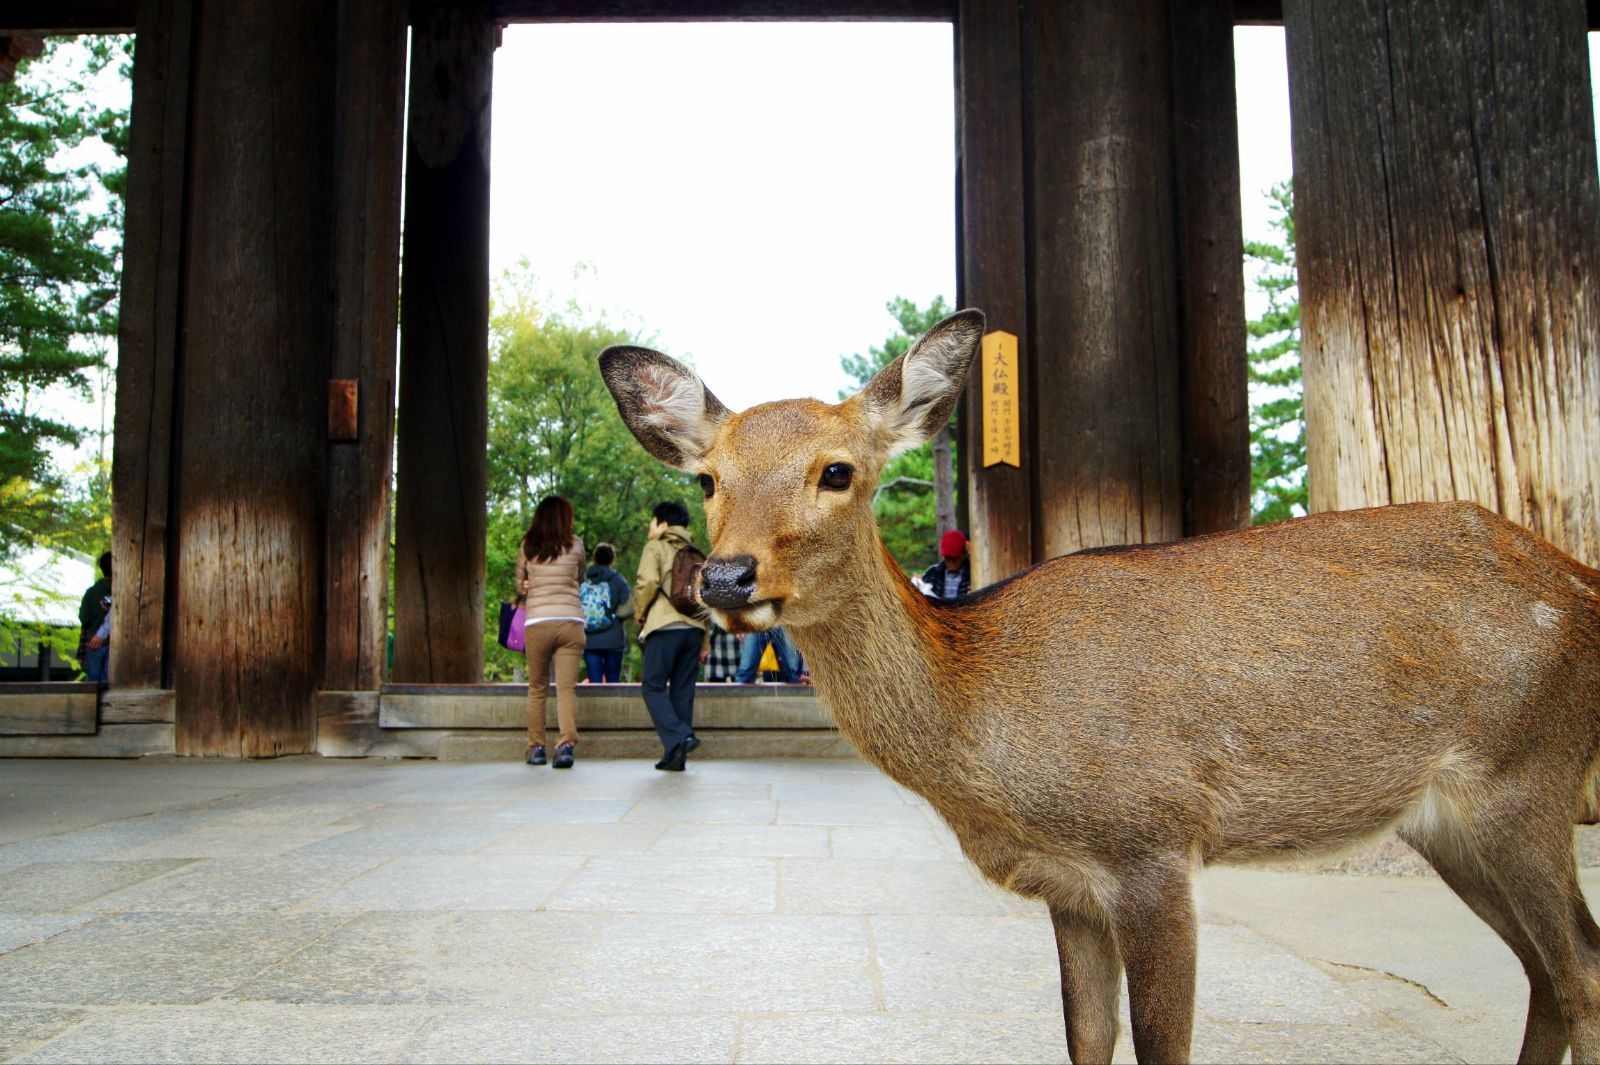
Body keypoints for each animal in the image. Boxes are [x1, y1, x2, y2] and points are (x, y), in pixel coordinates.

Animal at [601, 308, 1600, 1061]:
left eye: (837, 470)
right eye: (708, 477)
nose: (725, 577)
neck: (984, 711)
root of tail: (1578, 583)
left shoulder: (1149, 841)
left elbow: (1162, 1045)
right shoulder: (1071, 886)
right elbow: (1086, 1038)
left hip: (1526, 779)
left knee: (1582, 969)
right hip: (1452, 823)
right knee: (1546, 974)